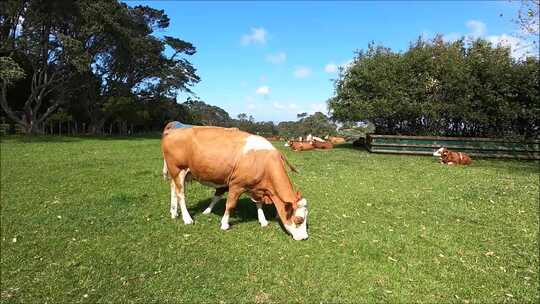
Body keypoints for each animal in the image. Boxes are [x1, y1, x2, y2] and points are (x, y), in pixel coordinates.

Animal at [160, 125, 308, 240]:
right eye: (299, 220)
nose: (305, 237)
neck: (263, 162)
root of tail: (173, 131)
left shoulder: (255, 187)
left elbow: (258, 203)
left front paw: (263, 220)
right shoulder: (236, 185)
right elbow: (230, 204)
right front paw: (225, 224)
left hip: (178, 173)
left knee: (173, 189)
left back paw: (173, 212)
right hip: (178, 169)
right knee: (181, 194)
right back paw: (187, 218)